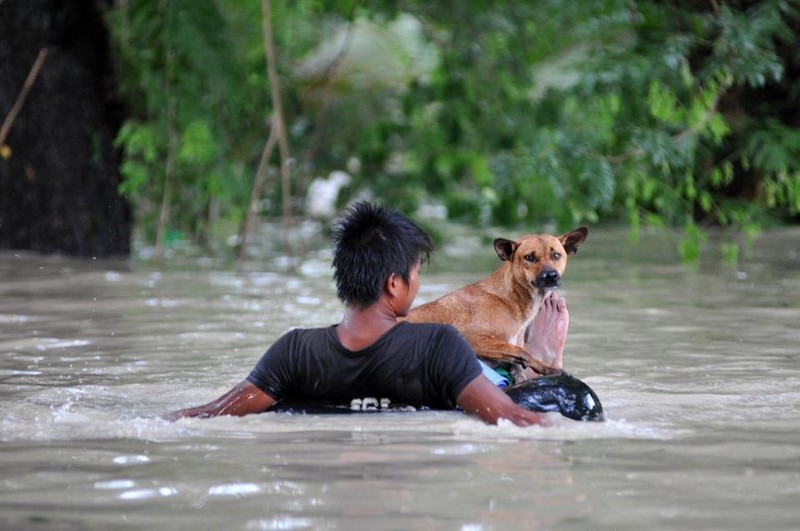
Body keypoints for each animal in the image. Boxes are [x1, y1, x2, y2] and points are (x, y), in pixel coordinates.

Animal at [406, 229, 588, 382]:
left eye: (556, 255)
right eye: (529, 257)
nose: (550, 275)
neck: (511, 299)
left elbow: (518, 360)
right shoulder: (470, 337)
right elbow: (522, 352)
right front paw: (547, 368)